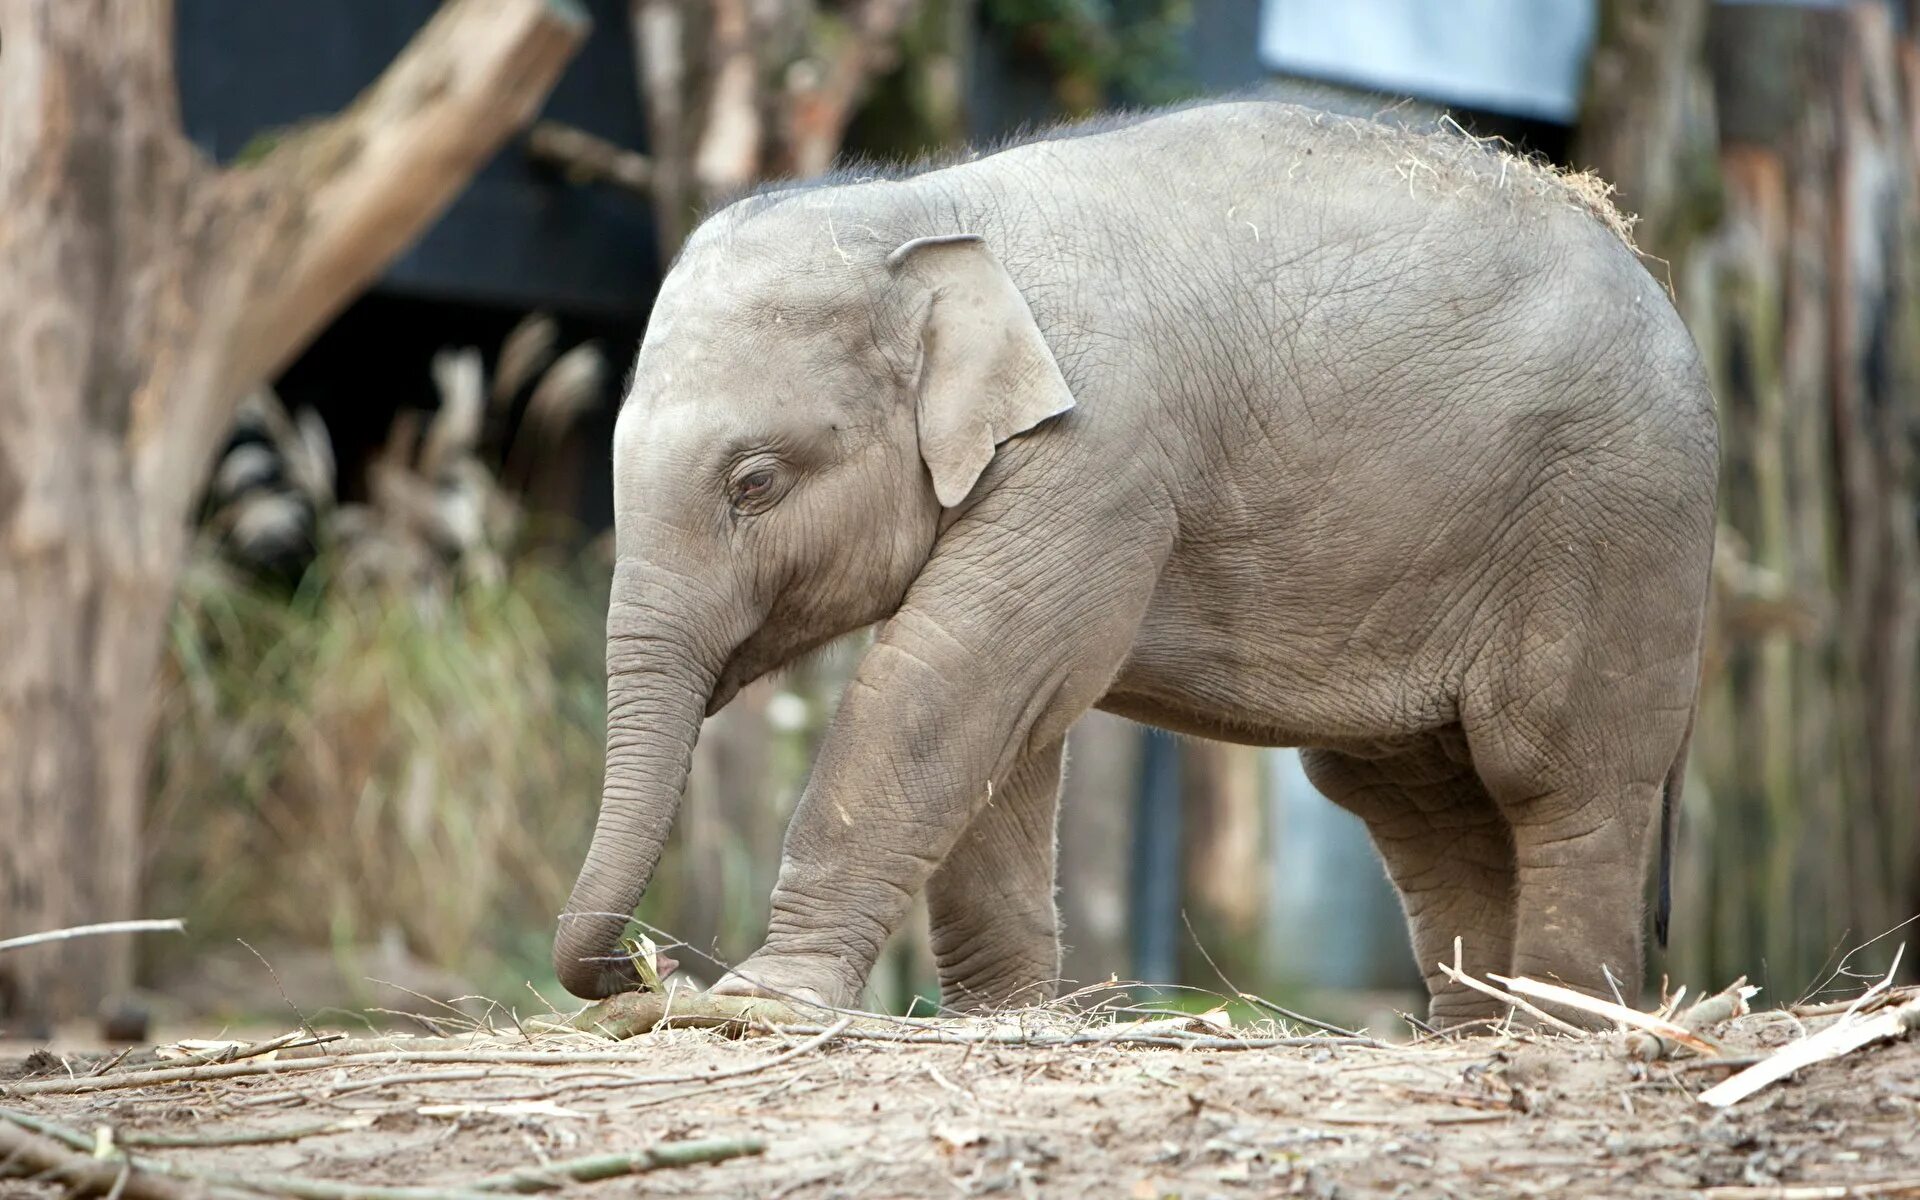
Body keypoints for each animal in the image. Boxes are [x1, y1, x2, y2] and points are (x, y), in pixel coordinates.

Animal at [552, 98, 1712, 1021]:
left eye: (754, 483)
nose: (644, 969)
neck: (926, 211)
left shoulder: (1100, 451)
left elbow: (953, 677)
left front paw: (753, 1006)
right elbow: (999, 725)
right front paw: (1004, 1020)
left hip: (1613, 526)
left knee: (1561, 783)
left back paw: (1557, 1032)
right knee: (1420, 798)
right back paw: (1472, 1033)